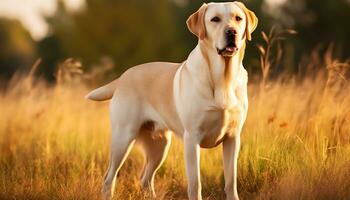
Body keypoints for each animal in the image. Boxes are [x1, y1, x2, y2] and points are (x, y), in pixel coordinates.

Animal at [87, 1, 258, 200]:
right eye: (215, 19)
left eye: (238, 18)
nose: (232, 32)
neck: (223, 78)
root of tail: (123, 77)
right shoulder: (192, 138)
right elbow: (195, 183)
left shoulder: (232, 138)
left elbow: (231, 182)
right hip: (123, 137)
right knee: (109, 178)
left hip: (160, 145)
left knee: (145, 178)